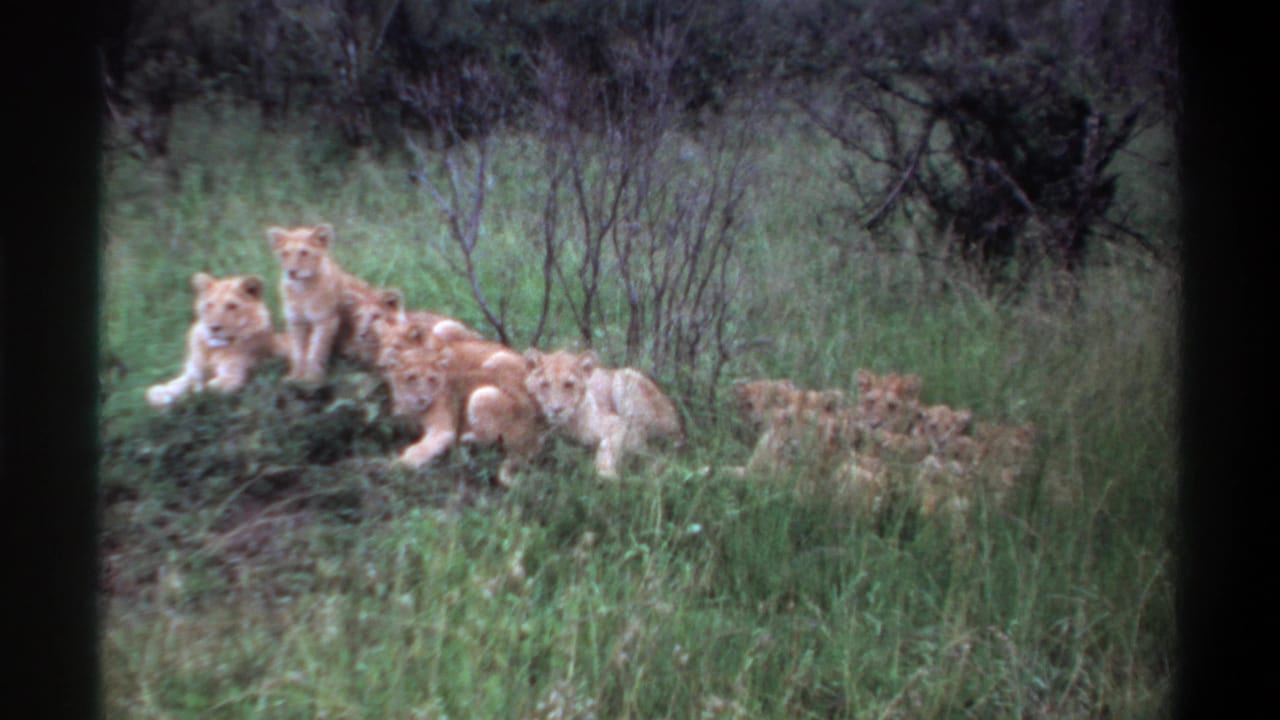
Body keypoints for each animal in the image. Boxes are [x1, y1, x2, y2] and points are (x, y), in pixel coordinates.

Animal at [145, 272, 286, 407]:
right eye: (209, 305)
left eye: (231, 306)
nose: (213, 327)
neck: (212, 349)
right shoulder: (193, 371)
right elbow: (180, 383)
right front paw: (160, 394)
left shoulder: (233, 378)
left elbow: (203, 389)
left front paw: (185, 398)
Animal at [268, 223, 379, 381]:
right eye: (285, 253)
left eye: (304, 252)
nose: (291, 272)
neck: (302, 289)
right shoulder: (296, 321)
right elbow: (298, 350)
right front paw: (295, 376)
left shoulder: (326, 320)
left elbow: (316, 349)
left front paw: (311, 377)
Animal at [384, 337, 543, 487]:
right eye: (411, 378)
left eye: (432, 379)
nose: (422, 399)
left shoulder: (443, 429)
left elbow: (423, 448)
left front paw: (398, 464)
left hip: (482, 394)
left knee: (490, 440)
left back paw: (466, 440)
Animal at [523, 349, 685, 479]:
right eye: (545, 385)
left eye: (569, 385)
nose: (556, 409)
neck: (567, 424)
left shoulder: (619, 424)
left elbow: (608, 446)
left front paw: (606, 473)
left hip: (624, 378)